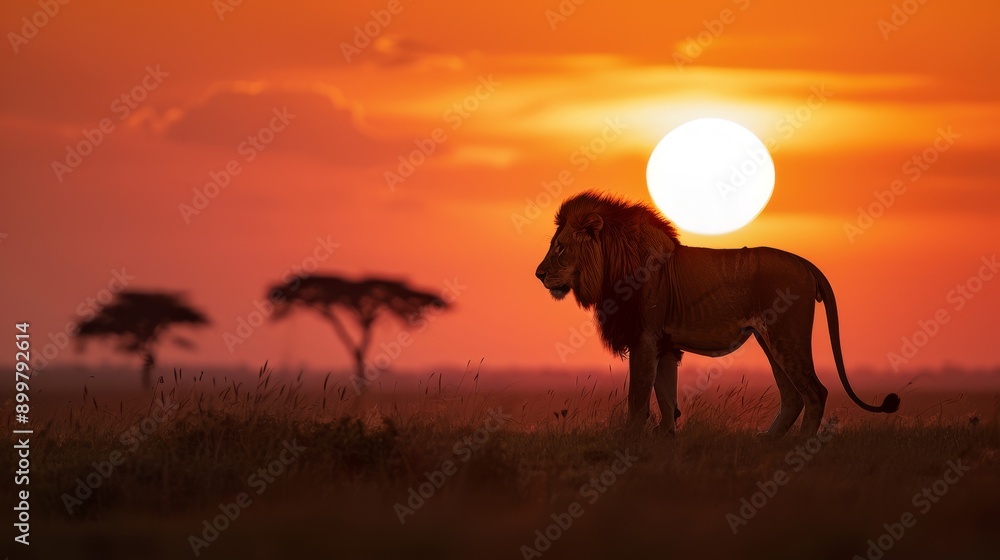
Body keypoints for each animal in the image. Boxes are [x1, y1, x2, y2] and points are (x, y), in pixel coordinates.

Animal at [534, 191, 899, 437]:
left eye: (560, 248)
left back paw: (797, 448)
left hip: (787, 336)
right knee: (792, 396)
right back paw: (767, 443)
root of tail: (806, 264)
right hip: (771, 340)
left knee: (814, 392)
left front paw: (630, 441)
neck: (611, 267)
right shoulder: (664, 344)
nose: (538, 274)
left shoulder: (644, 338)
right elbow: (665, 397)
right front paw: (666, 441)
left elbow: (637, 399)